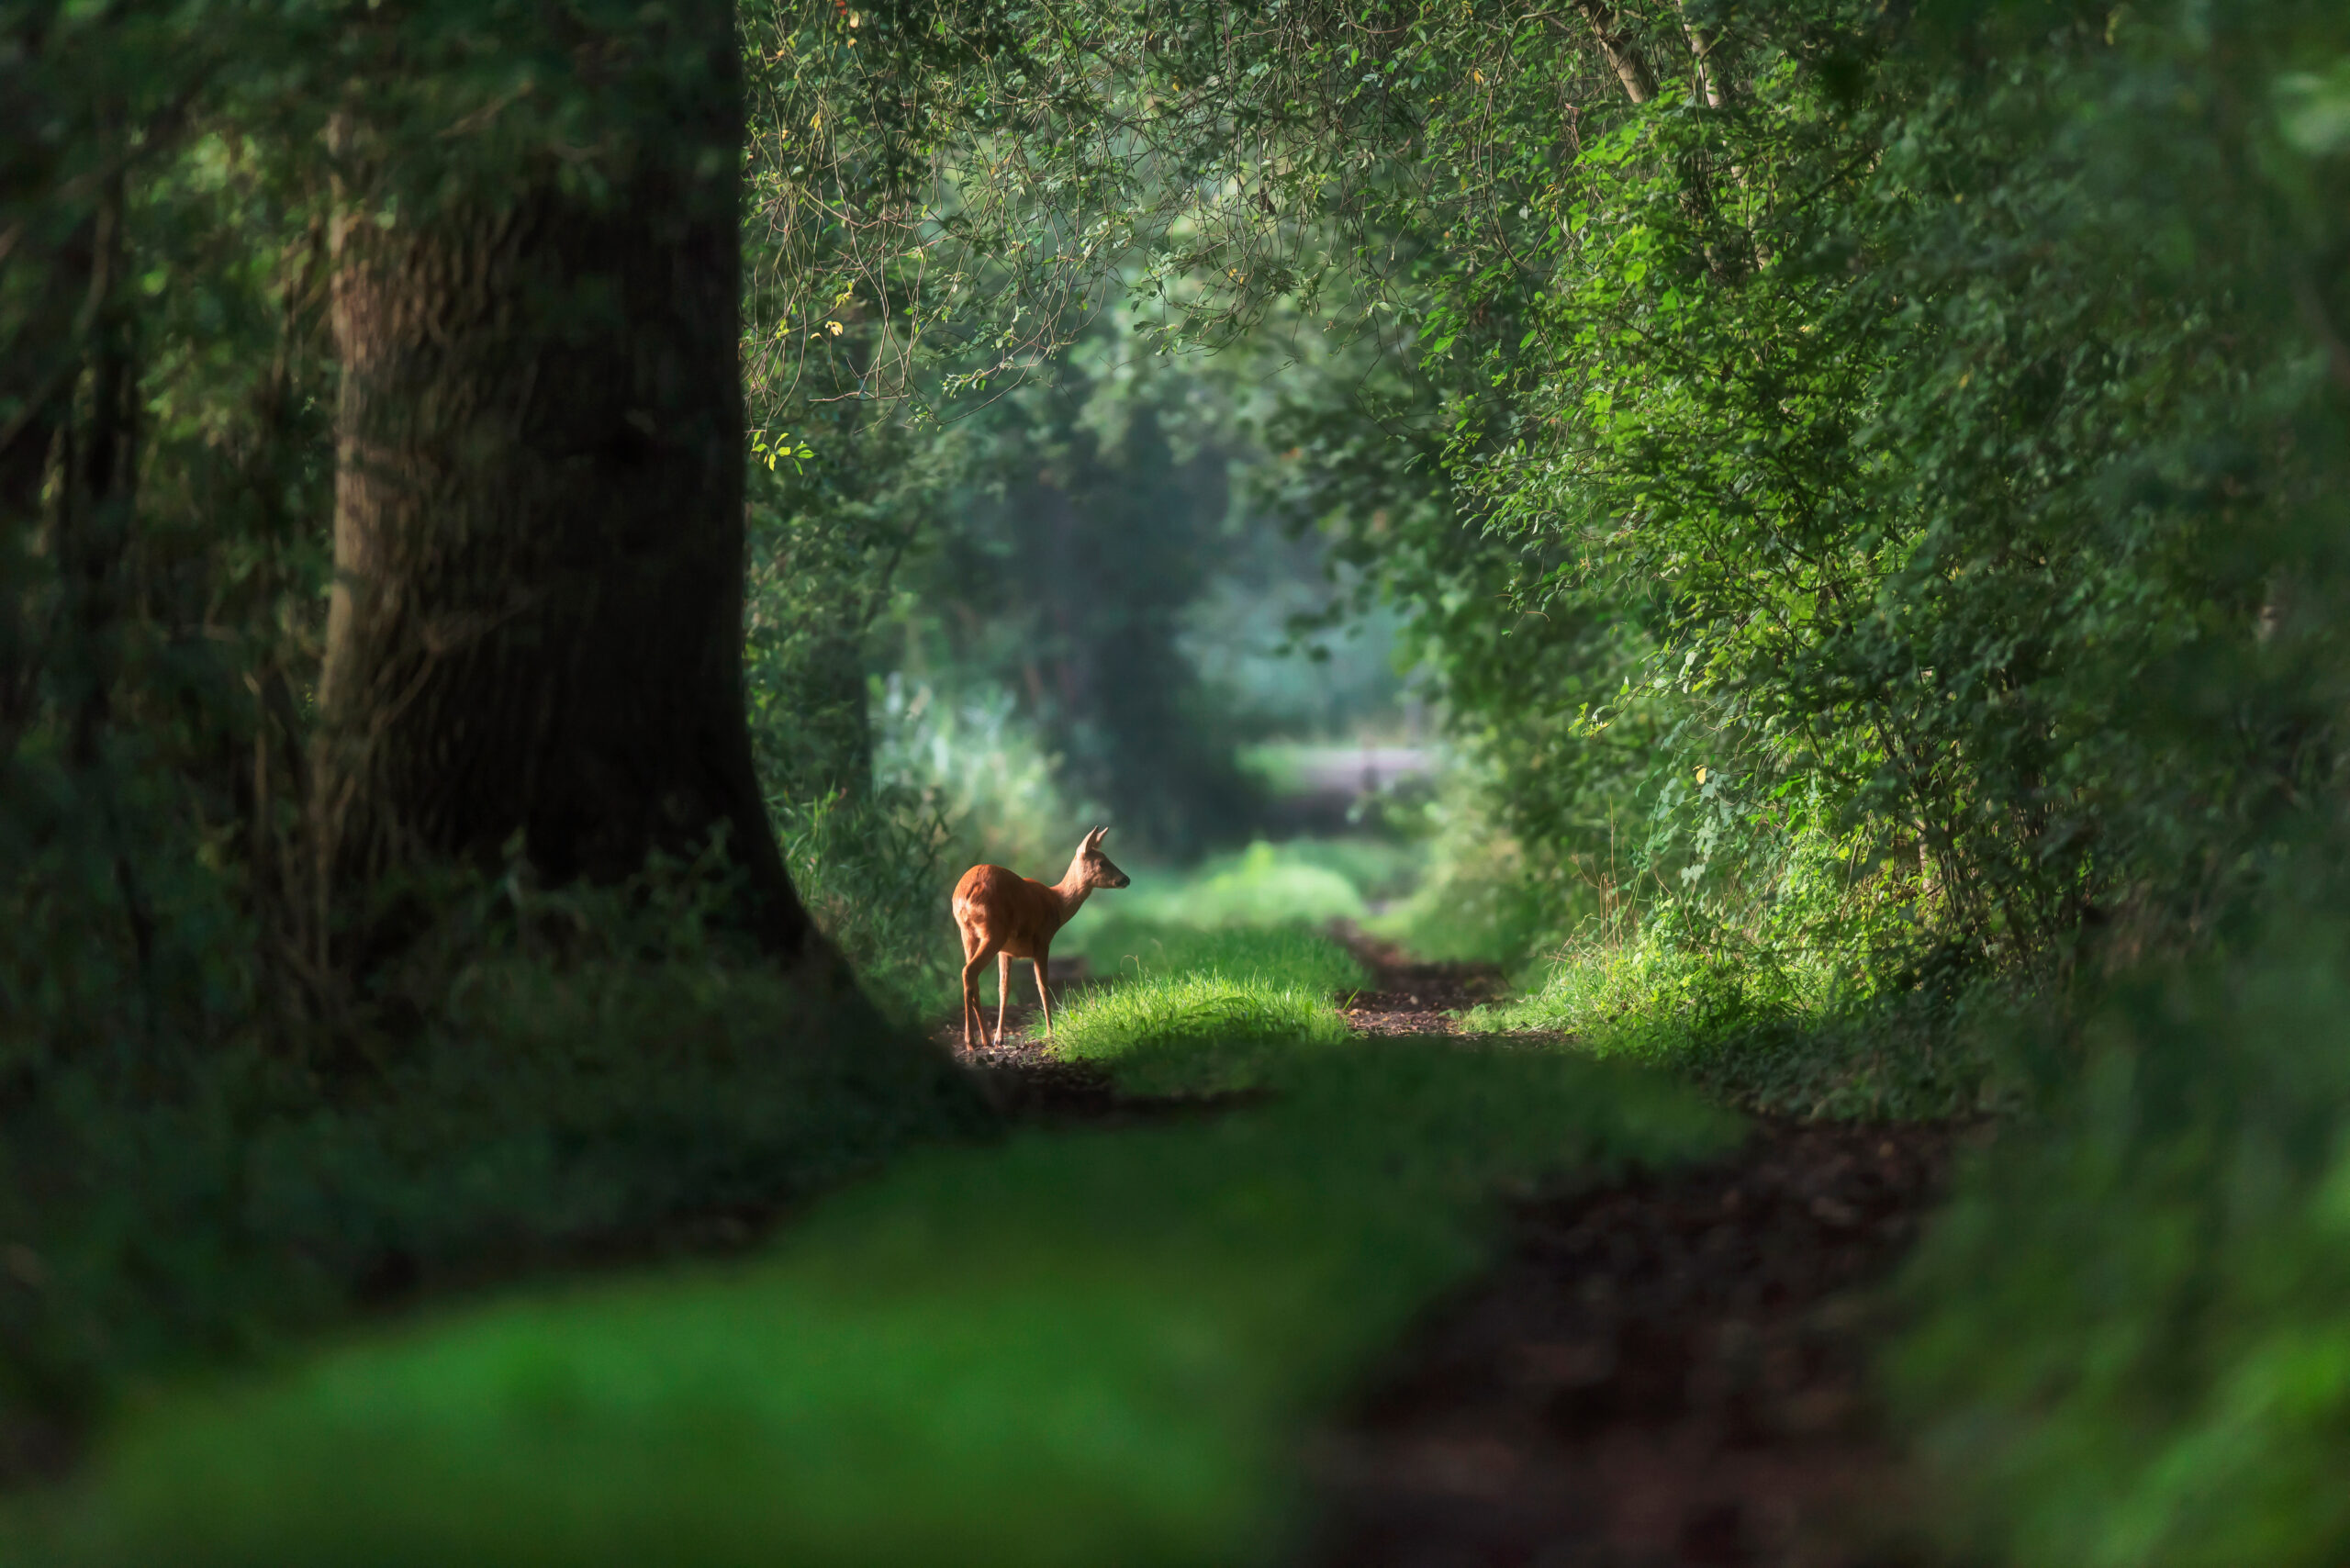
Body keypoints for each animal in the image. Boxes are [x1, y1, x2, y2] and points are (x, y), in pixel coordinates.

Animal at [958, 827, 1132, 1062]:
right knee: (969, 971)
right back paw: (971, 1041)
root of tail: (968, 892)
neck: (1056, 902)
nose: (1126, 879)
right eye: (1101, 862)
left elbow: (1004, 989)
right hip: (993, 932)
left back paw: (984, 1039)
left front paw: (999, 1039)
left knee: (972, 976)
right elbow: (1042, 985)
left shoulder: (1007, 950)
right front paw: (1051, 1031)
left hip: (969, 935)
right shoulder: (1042, 940)